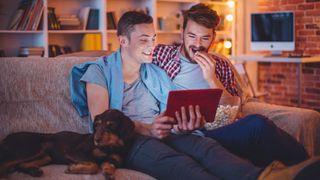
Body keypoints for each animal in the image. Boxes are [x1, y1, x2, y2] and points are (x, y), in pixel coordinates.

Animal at [0, 109, 136, 178]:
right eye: (97, 125)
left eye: (111, 125)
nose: (96, 139)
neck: (110, 147)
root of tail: (6, 137)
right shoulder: (75, 152)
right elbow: (93, 164)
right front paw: (73, 168)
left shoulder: (114, 159)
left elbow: (108, 163)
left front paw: (108, 171)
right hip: (30, 148)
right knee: (5, 164)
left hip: (46, 156)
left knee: (19, 165)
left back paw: (34, 171)